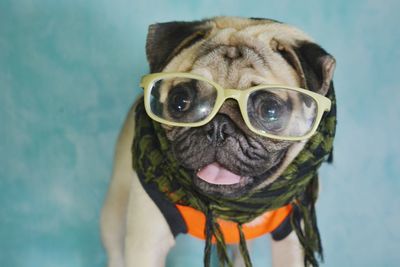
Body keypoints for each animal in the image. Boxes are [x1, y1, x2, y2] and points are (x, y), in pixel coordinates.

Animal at [99, 16, 334, 267]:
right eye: (180, 101)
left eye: (270, 111)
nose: (218, 127)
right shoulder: (146, 241)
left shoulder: (293, 237)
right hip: (114, 210)